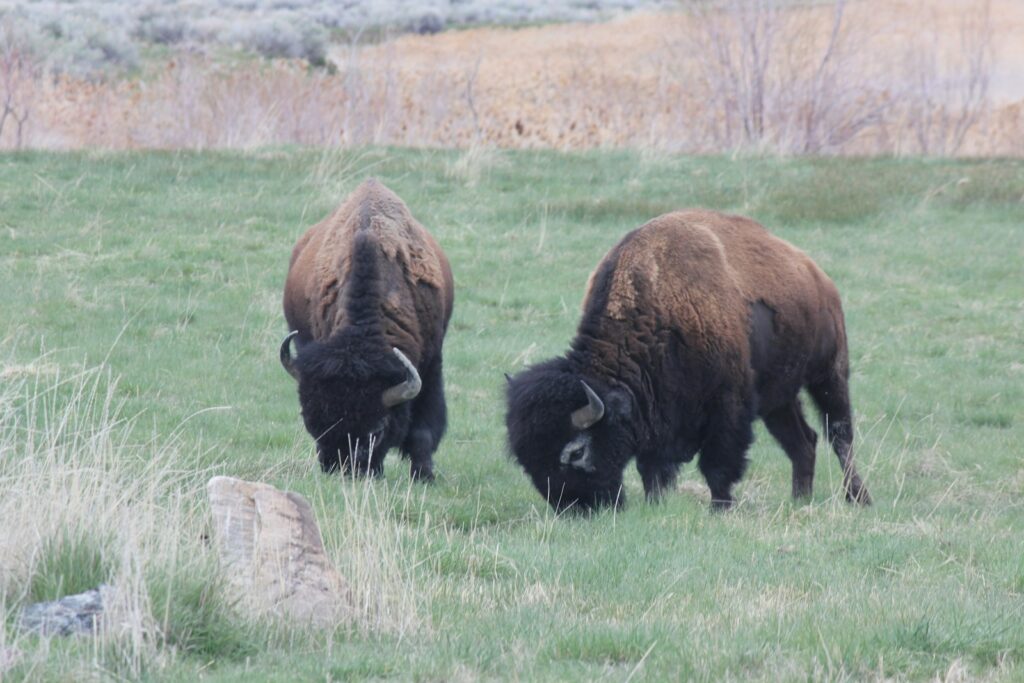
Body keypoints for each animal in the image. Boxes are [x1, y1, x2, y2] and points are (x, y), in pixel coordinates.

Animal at [280, 179, 453, 480]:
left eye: (378, 429)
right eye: (312, 421)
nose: (342, 468)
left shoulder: (431, 363)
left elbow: (423, 429)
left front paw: (424, 475)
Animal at [505, 210, 871, 512]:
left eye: (576, 452)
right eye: (527, 461)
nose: (574, 508)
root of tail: (818, 278)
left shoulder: (727, 406)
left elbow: (718, 464)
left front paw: (720, 507)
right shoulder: (656, 415)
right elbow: (652, 469)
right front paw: (656, 503)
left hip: (829, 374)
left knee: (839, 434)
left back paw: (857, 497)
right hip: (778, 399)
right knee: (803, 441)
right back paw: (800, 499)